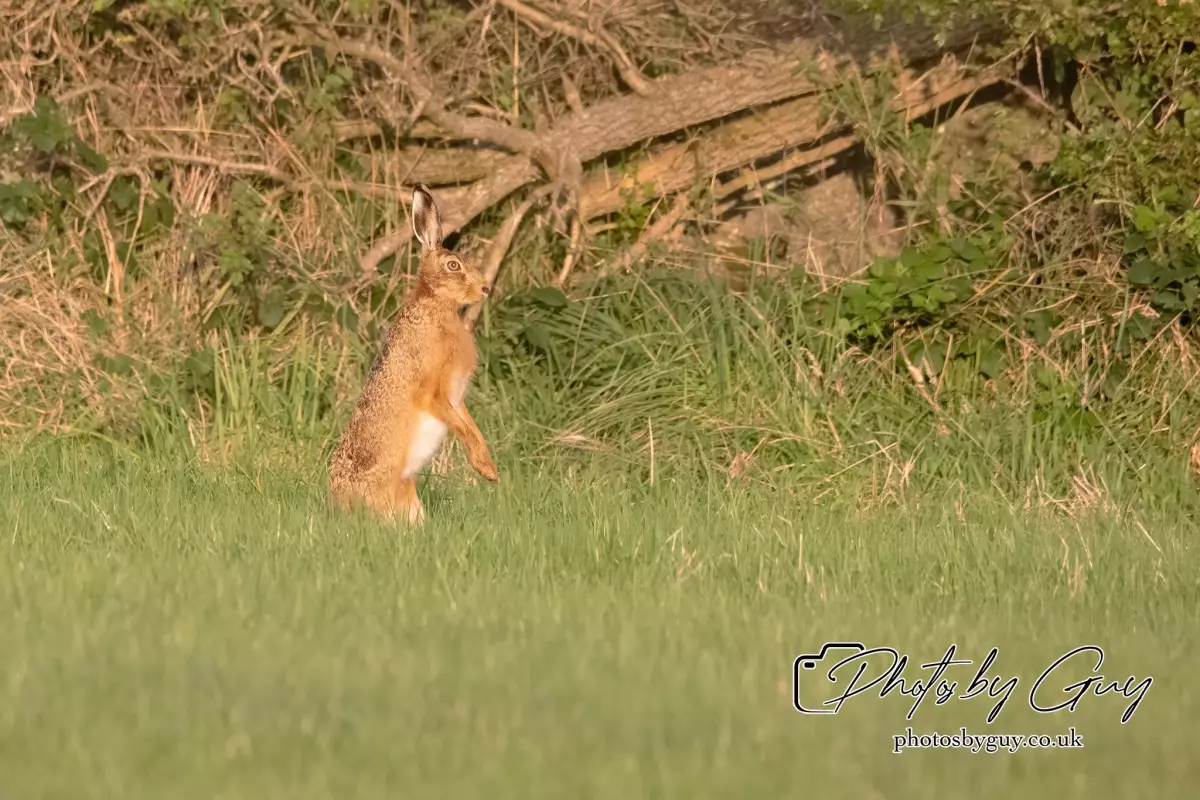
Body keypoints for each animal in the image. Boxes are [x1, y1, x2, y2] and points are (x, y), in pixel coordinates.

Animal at [328, 184, 499, 524]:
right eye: (453, 266)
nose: (485, 289)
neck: (437, 308)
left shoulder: (456, 398)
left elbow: (470, 426)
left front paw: (490, 470)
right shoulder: (433, 393)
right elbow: (461, 427)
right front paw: (486, 470)